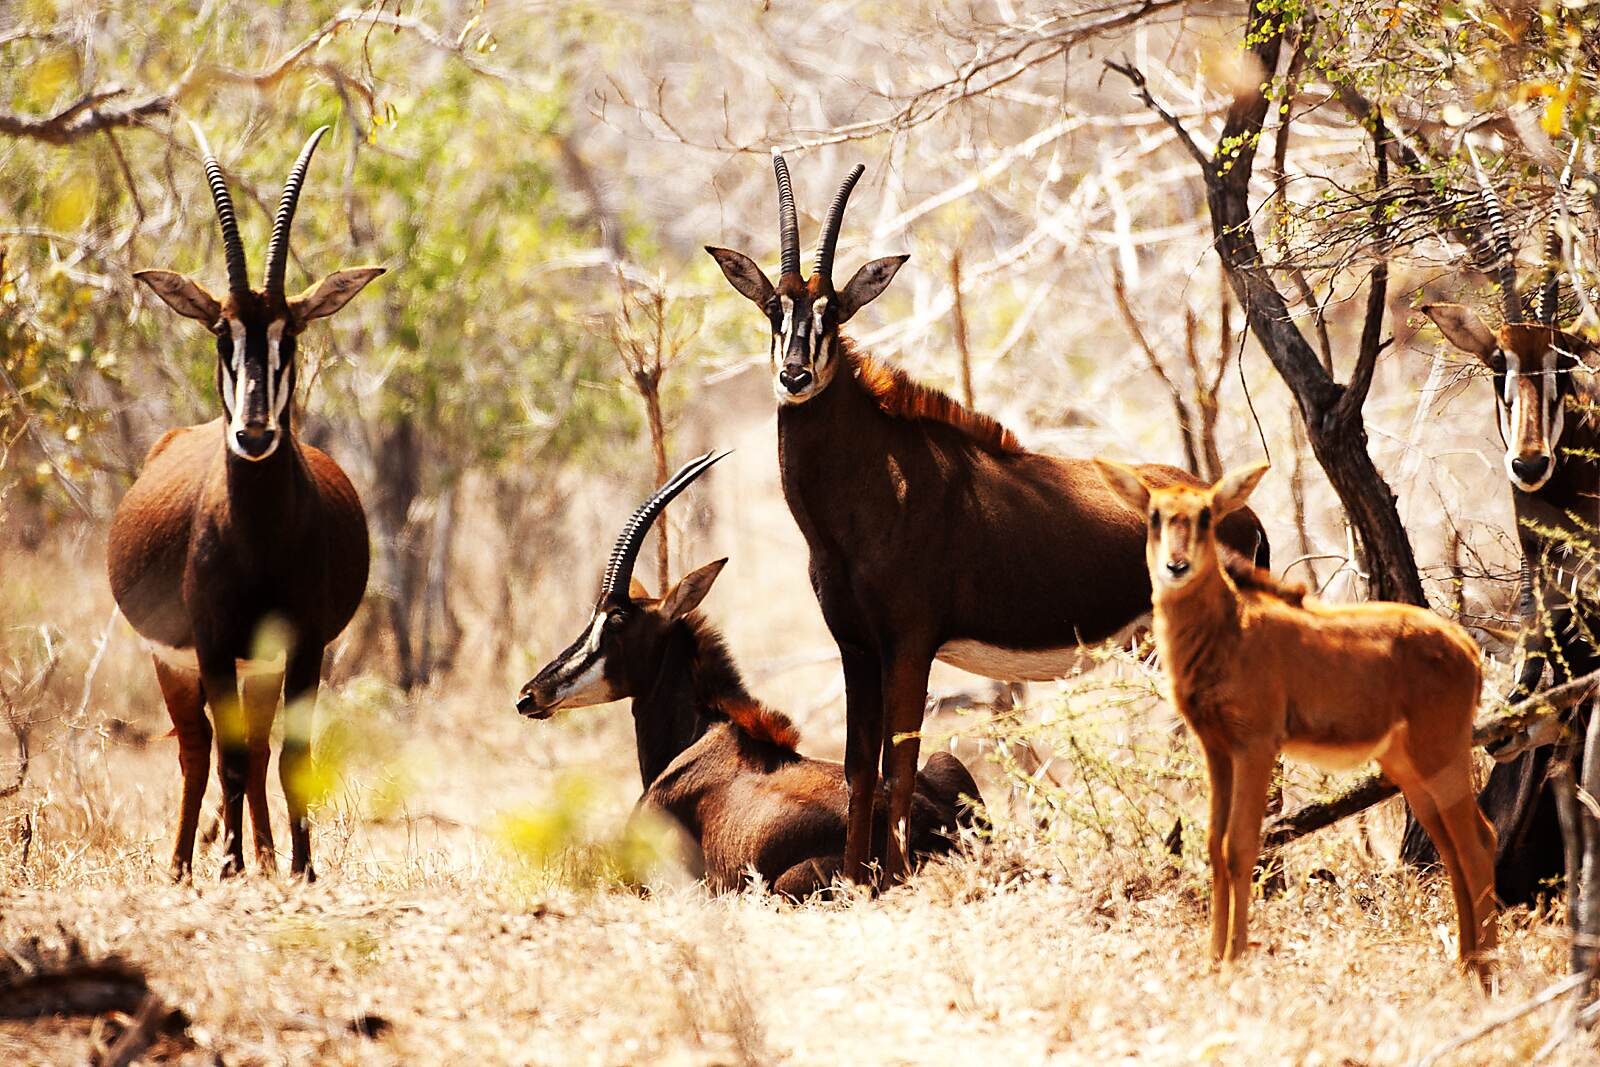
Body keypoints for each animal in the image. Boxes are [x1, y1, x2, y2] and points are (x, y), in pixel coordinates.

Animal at [107, 126, 382, 880]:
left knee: (255, 752)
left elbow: (291, 759)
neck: (258, 535)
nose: (254, 433)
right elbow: (223, 757)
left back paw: (259, 854)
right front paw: (226, 866)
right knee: (198, 751)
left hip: (260, 668)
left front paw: (301, 868)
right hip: (176, 663)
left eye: (292, 332)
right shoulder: (210, 643)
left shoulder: (306, 644)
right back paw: (185, 865)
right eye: (221, 333)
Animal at [515, 453, 982, 897]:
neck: (700, 733)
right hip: (944, 760)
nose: (529, 695)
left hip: (785, 885)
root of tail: (935, 827)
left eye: (614, 621)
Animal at [705, 154, 1269, 882]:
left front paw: (894, 879)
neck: (870, 488)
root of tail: (1244, 514)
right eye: (774, 308)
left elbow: (900, 766)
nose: (795, 376)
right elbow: (860, 769)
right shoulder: (856, 645)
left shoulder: (910, 643)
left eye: (836, 312)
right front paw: (859, 882)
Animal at [1095, 460, 1498, 973]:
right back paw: (1467, 963)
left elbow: (1241, 845)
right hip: (1408, 765)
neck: (1229, 630)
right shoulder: (1216, 750)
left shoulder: (1256, 745)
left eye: (1206, 516)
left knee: (1476, 843)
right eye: (1154, 516)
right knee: (1450, 846)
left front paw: (1233, 960)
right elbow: (1213, 845)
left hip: (1440, 751)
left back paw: (1486, 969)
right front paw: (1212, 959)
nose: (1176, 567)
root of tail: (1467, 648)